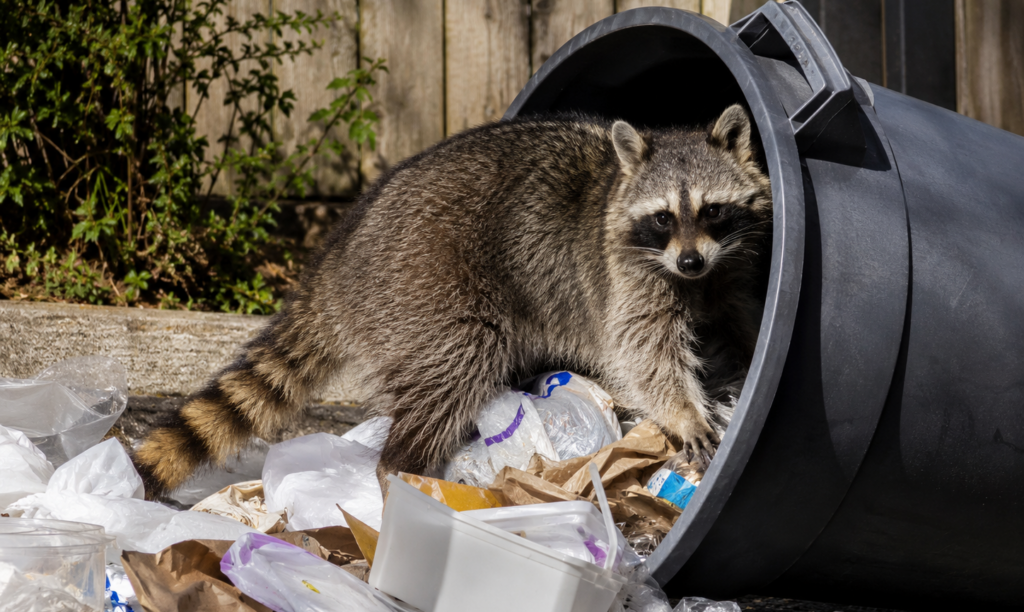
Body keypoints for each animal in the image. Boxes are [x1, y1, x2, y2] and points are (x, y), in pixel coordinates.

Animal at [133, 104, 772, 496]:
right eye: (663, 217)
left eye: (713, 210)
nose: (689, 263)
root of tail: (336, 259)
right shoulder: (626, 272)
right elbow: (643, 348)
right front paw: (684, 411)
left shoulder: (731, 264)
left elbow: (739, 314)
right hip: (424, 287)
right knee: (459, 361)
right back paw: (404, 469)